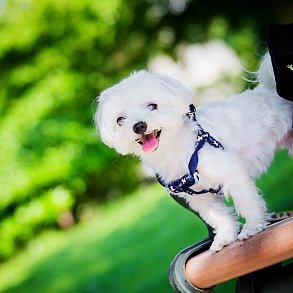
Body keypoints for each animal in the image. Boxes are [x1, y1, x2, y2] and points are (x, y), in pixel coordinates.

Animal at [94, 53, 290, 251]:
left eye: (152, 106)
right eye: (120, 119)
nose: (139, 125)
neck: (175, 150)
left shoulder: (232, 174)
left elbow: (247, 203)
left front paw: (252, 227)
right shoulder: (199, 197)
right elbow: (218, 217)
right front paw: (225, 236)